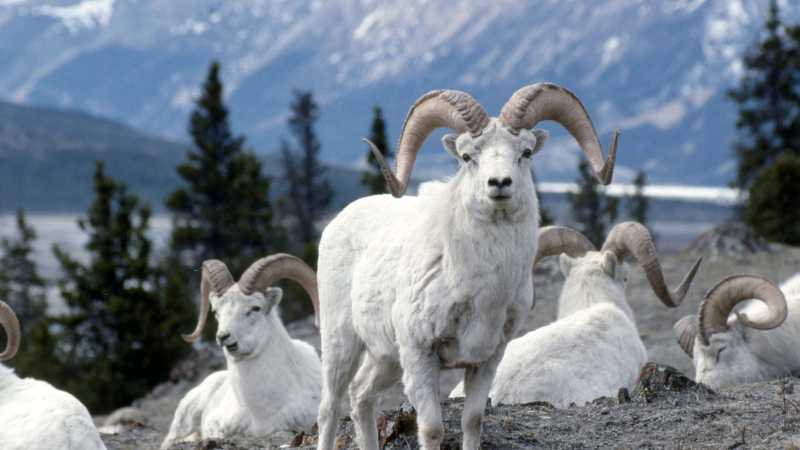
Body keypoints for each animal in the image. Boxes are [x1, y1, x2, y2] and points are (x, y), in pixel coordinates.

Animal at [315, 83, 620, 450]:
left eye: (526, 152)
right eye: (466, 156)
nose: (499, 183)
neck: (479, 289)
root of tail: (339, 221)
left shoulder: (486, 360)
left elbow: (472, 421)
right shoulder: (420, 356)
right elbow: (432, 429)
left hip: (385, 357)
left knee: (361, 396)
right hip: (341, 342)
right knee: (330, 407)